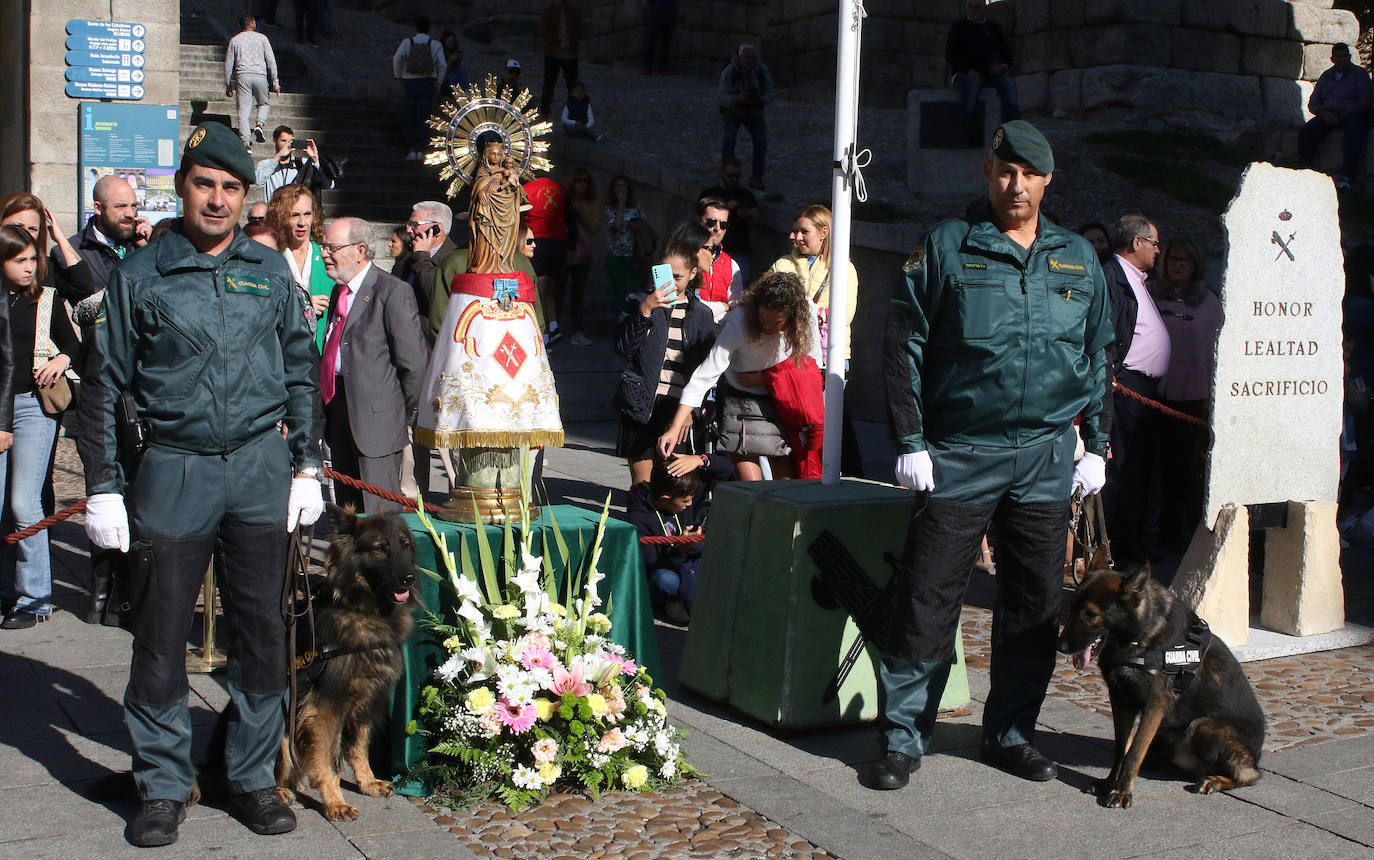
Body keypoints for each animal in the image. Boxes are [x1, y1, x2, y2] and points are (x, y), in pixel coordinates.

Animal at [270, 502, 414, 818]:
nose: (409, 578)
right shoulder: (325, 707)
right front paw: (335, 802)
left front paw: (368, 782)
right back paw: (278, 792)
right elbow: (328, 760)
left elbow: (359, 748)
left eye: (404, 545)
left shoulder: (366, 701)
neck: (363, 611)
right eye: (380, 548)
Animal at [1049, 563, 1264, 802]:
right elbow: (1121, 749)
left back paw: (1214, 780)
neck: (1139, 637)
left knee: (1250, 776)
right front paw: (1110, 783)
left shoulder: (1155, 704)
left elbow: (1134, 751)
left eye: (1090, 614)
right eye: (1072, 608)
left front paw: (1122, 791)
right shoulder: (1120, 700)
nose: (1060, 646)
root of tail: (1256, 755)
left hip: (1203, 726)